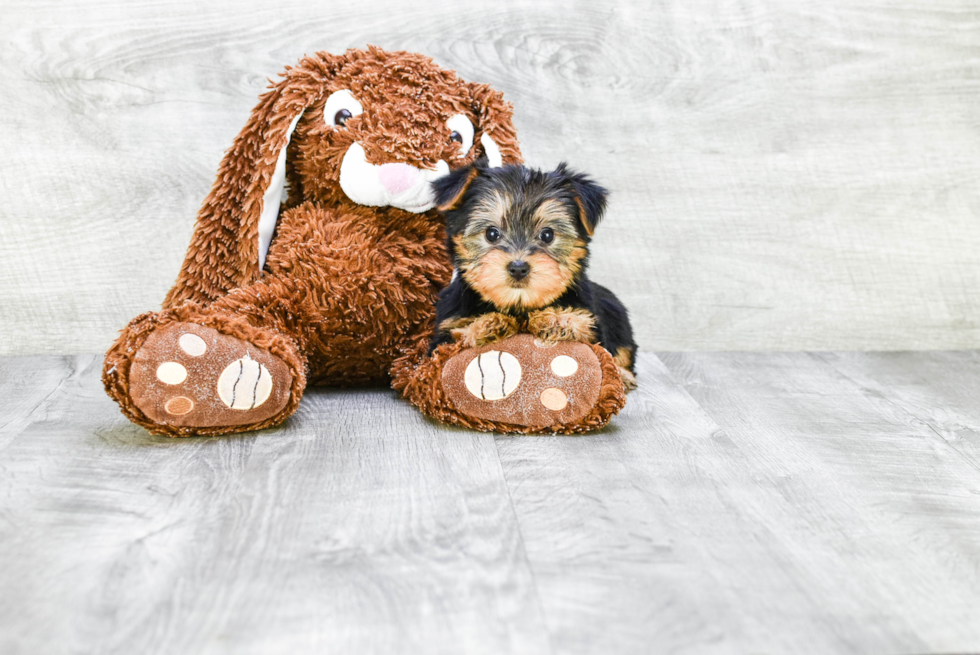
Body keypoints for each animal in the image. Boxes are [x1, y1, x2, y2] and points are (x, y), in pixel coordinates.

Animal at [428, 162, 636, 392]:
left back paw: (624, 376)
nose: (518, 268)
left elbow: (588, 333)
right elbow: (453, 340)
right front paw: (487, 325)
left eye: (547, 235)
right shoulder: (445, 329)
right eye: (491, 233)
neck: (519, 306)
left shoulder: (592, 319)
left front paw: (555, 320)